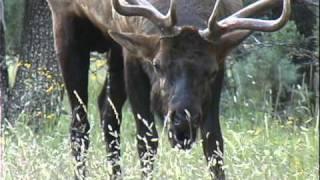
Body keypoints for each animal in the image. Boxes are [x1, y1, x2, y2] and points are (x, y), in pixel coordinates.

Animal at [46, 0, 292, 179]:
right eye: (157, 64)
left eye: (210, 72)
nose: (183, 122)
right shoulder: (133, 53)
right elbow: (147, 141)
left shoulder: (220, 63)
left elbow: (214, 143)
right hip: (66, 23)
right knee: (80, 124)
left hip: (113, 45)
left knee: (107, 114)